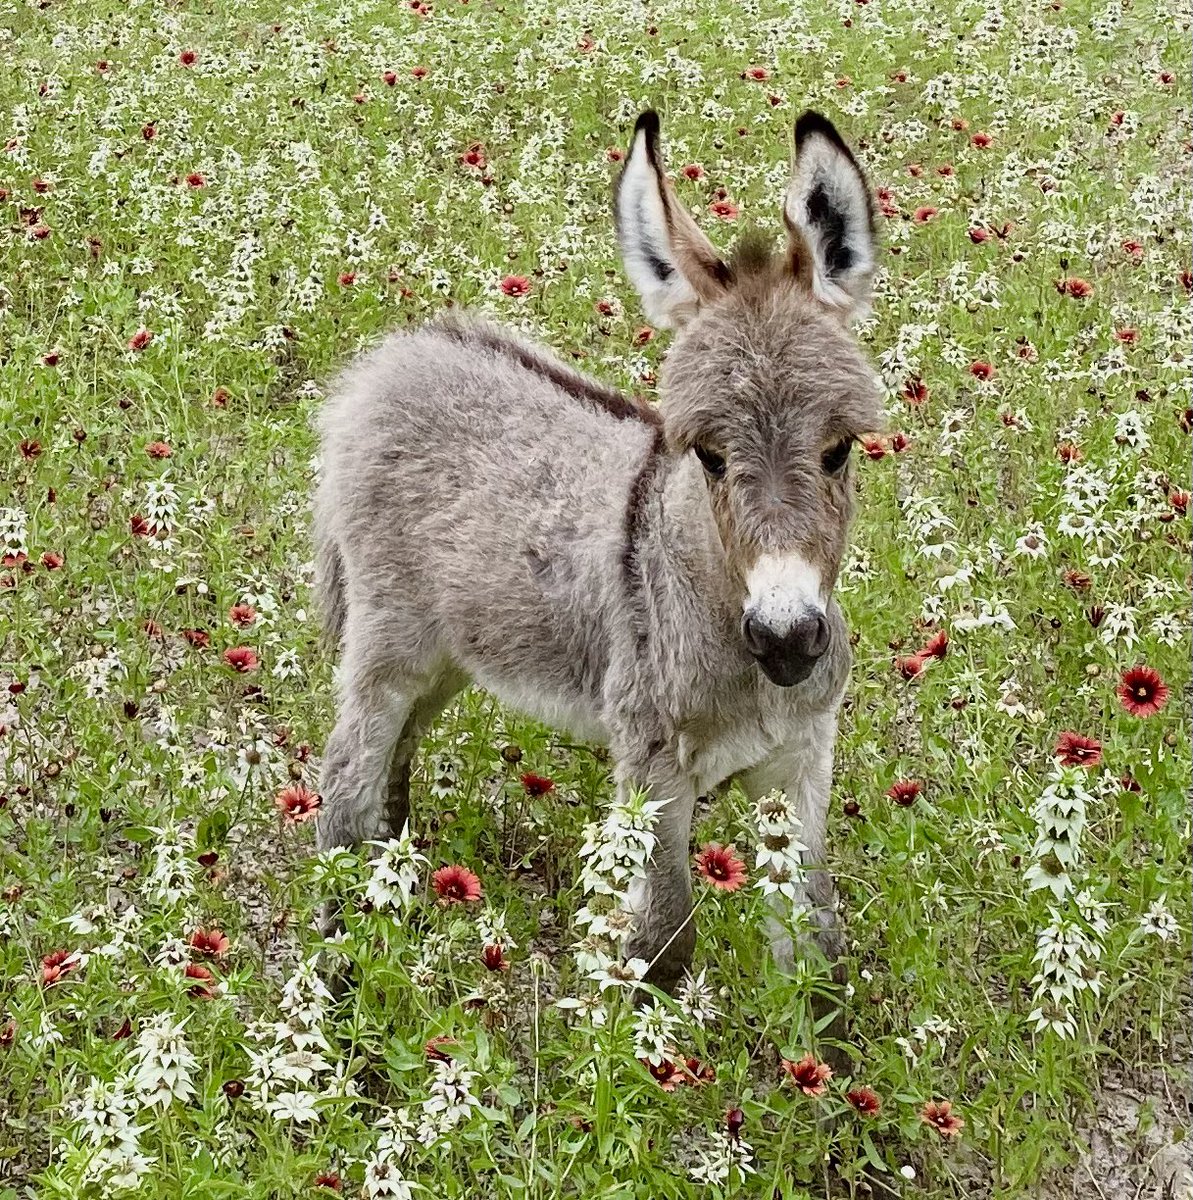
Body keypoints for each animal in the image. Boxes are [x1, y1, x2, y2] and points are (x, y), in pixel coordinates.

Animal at [312, 110, 878, 993]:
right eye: (707, 455)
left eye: (841, 448)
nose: (787, 641)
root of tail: (391, 358)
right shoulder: (652, 769)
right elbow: (663, 940)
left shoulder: (800, 763)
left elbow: (815, 948)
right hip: (387, 642)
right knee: (345, 786)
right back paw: (340, 972)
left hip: (451, 654)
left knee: (393, 764)